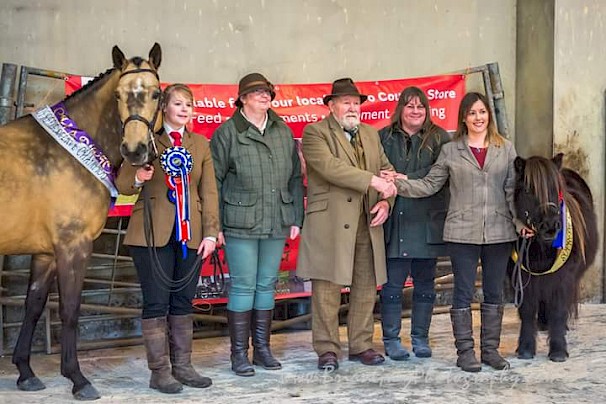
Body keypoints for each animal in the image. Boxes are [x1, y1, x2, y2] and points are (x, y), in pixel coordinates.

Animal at [0, 45, 163, 400]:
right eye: (117, 95)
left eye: (156, 93)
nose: (135, 150)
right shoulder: (73, 246)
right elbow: (70, 311)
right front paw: (78, 378)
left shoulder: (46, 253)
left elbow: (34, 305)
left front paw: (25, 372)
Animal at [512, 153, 600, 362]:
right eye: (527, 190)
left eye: (556, 188)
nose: (550, 226)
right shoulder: (524, 279)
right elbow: (527, 310)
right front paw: (526, 348)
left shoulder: (563, 278)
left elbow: (558, 310)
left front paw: (558, 350)